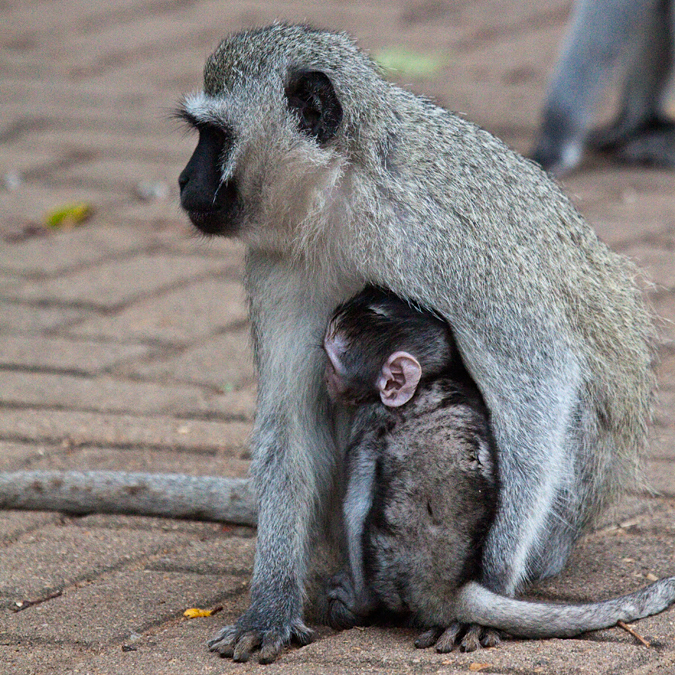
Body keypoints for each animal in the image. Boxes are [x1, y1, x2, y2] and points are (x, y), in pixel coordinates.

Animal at [322, 290, 675, 656]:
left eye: (332, 362)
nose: (326, 378)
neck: (430, 381)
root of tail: (450, 589)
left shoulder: (370, 419)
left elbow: (356, 501)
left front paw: (357, 600)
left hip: (388, 567)